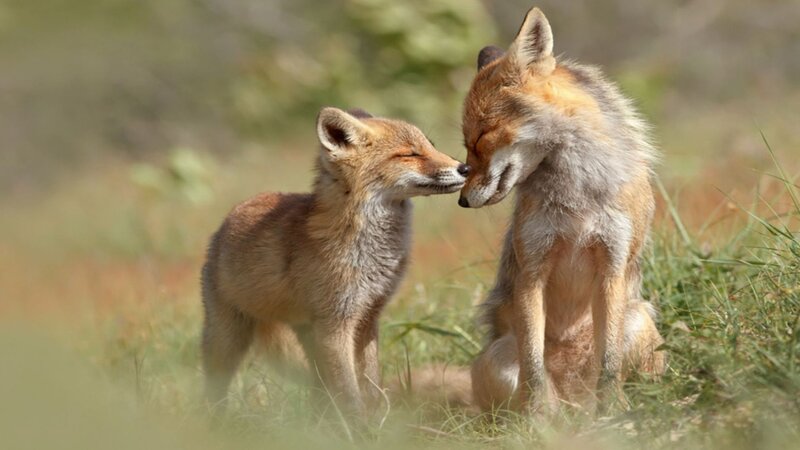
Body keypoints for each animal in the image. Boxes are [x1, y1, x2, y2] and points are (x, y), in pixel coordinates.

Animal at [200, 107, 469, 417]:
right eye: (410, 154)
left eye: (431, 146)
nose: (465, 168)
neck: (369, 252)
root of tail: (231, 214)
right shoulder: (336, 324)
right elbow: (349, 393)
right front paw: (359, 426)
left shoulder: (367, 317)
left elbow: (371, 385)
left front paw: (377, 421)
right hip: (228, 338)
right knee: (213, 386)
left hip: (308, 335)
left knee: (318, 390)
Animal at [457, 7, 666, 414]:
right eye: (466, 146)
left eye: (481, 138)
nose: (461, 201)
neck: (577, 198)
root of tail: (575, 403)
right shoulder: (532, 271)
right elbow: (534, 368)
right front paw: (538, 420)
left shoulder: (612, 267)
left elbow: (609, 362)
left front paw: (613, 414)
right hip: (496, 358)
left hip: (639, 321)